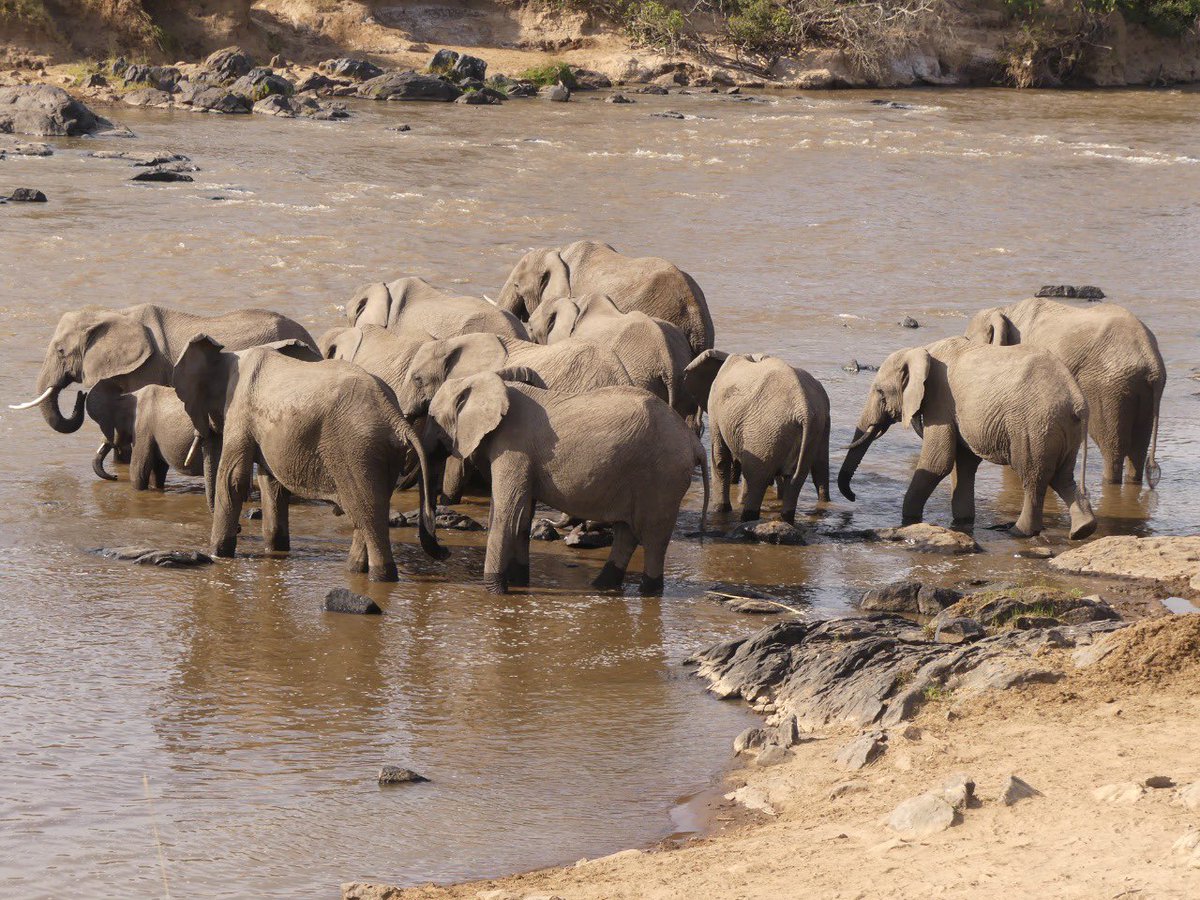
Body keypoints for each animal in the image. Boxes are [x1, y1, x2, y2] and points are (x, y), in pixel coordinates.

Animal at [171, 336, 446, 581]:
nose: (241, 528)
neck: (231, 354)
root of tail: (396, 417)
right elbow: (271, 484)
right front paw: (276, 549)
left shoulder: (241, 411)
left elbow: (232, 480)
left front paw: (218, 554)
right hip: (381, 454)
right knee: (368, 513)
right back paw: (353, 571)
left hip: (357, 452)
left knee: (366, 512)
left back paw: (380, 577)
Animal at [422, 370, 708, 595]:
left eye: (431, 418)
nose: (445, 552)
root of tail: (694, 443)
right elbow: (522, 515)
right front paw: (519, 583)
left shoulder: (514, 448)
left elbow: (507, 513)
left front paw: (496, 591)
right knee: (627, 533)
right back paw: (601, 587)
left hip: (664, 477)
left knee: (654, 539)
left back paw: (647, 592)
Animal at [683, 351, 831, 524]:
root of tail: (803, 409)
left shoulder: (716, 407)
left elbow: (720, 459)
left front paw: (721, 510)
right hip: (810, 428)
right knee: (796, 479)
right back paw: (785, 518)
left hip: (766, 429)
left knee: (757, 477)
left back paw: (747, 518)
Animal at [838, 337, 1096, 540]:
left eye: (880, 392)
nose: (853, 497)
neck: (922, 350)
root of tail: (1078, 400)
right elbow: (964, 463)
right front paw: (963, 522)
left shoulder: (940, 400)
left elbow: (938, 462)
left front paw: (909, 520)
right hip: (1062, 428)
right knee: (1062, 476)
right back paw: (1083, 530)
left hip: (1034, 425)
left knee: (1034, 477)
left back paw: (1019, 532)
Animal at [964, 296, 1166, 486]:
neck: (1003, 310)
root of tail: (1151, 361)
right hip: (1140, 390)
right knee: (1139, 446)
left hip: (1109, 388)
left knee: (1112, 446)